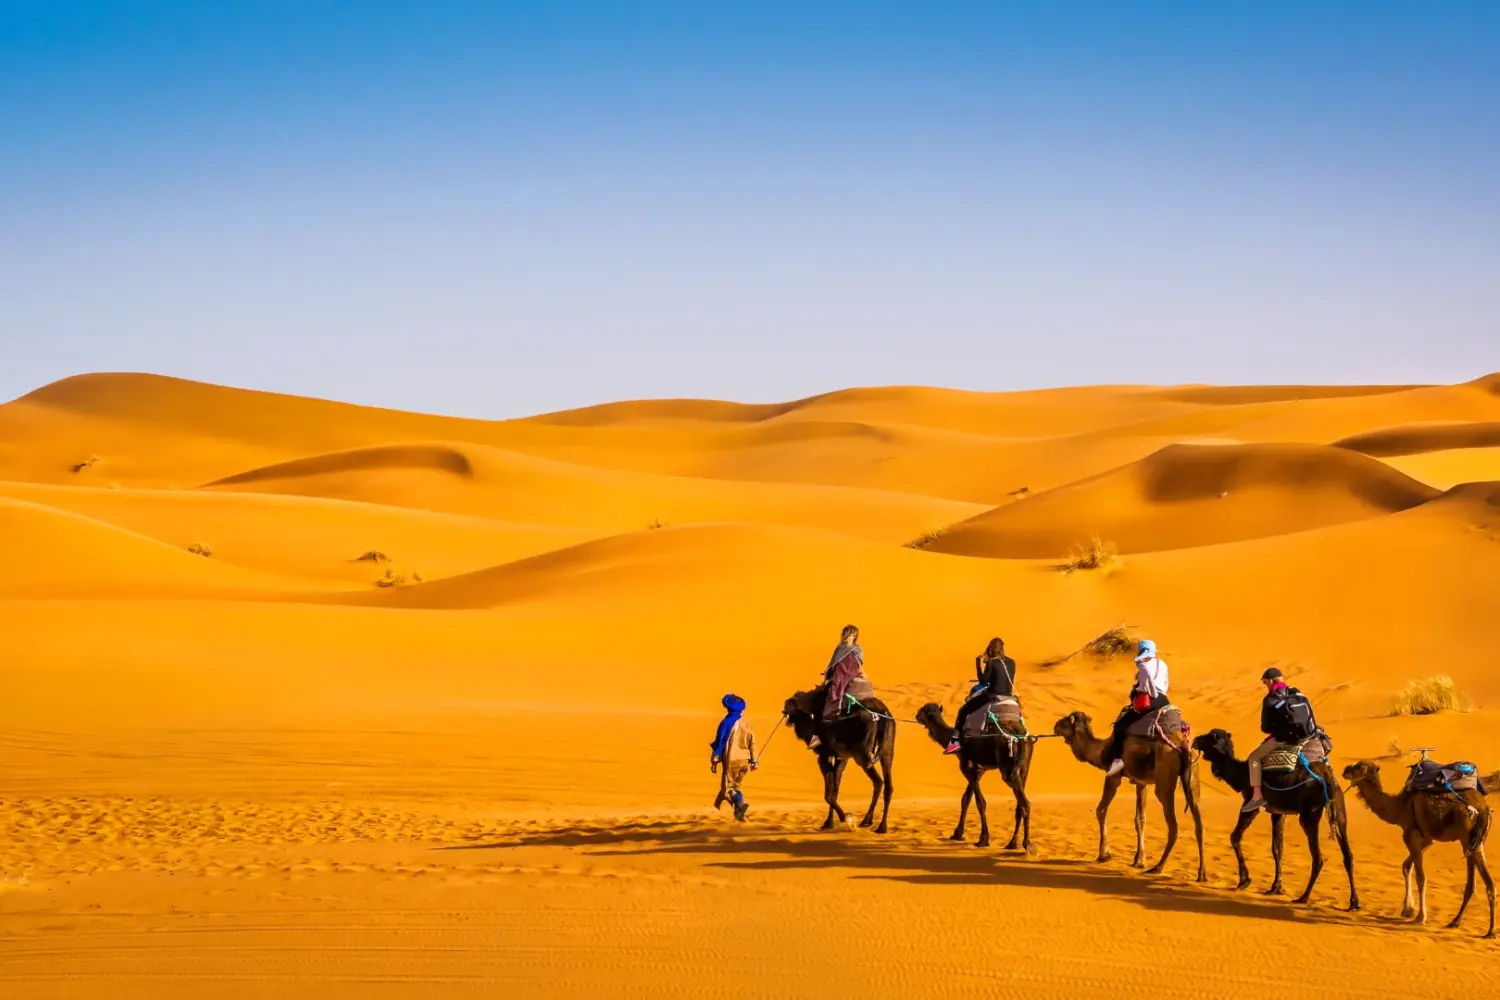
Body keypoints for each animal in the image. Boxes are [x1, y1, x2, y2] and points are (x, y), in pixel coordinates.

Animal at [784, 691, 895, 834]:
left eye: (791, 705)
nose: (784, 711)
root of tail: (883, 714)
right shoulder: (841, 757)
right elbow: (835, 789)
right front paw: (829, 822)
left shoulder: (824, 756)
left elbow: (829, 794)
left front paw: (845, 818)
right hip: (887, 750)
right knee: (888, 784)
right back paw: (880, 826)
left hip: (862, 754)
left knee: (878, 782)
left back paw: (869, 822)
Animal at [915, 702, 1034, 853]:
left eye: (922, 710)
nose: (916, 715)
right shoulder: (978, 770)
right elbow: (966, 799)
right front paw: (957, 833)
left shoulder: (966, 768)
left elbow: (980, 802)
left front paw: (983, 839)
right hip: (1024, 768)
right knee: (1020, 803)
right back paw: (1012, 843)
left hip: (1007, 769)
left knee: (1024, 802)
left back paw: (1027, 844)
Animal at [1053, 710, 1206, 881]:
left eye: (1066, 721)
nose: (1055, 726)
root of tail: (1182, 746)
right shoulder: (1142, 783)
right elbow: (1140, 819)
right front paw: (1139, 860)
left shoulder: (1113, 776)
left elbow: (1101, 810)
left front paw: (1104, 854)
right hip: (1193, 776)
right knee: (1198, 821)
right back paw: (1201, 873)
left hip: (1164, 781)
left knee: (1173, 825)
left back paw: (1158, 867)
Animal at [1192, 729, 1359, 909]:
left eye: (1209, 737)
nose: (1195, 740)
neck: (1242, 774)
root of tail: (1327, 777)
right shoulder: (1277, 812)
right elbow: (1277, 848)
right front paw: (1275, 887)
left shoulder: (1251, 804)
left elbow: (1235, 837)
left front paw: (1244, 881)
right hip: (1339, 810)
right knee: (1348, 855)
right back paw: (1354, 902)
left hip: (1309, 814)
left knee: (1318, 857)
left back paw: (1303, 897)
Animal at [1341, 759, 1494, 936]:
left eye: (1360, 767)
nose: (1345, 770)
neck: (1399, 807)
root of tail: (1483, 809)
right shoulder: (1426, 840)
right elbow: (1406, 866)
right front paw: (1408, 909)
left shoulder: (1411, 836)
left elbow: (1420, 877)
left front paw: (1421, 916)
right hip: (1475, 841)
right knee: (1476, 884)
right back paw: (1458, 922)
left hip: (1468, 839)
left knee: (1486, 881)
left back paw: (1488, 930)